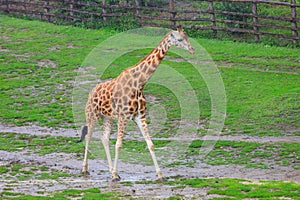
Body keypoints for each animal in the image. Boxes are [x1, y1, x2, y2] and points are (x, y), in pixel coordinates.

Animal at [80, 25, 195, 181]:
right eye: (179, 39)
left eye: (187, 36)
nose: (192, 50)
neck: (139, 84)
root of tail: (91, 92)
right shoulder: (123, 116)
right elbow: (119, 144)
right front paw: (115, 176)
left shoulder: (140, 116)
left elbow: (150, 144)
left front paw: (160, 175)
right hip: (92, 114)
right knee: (89, 136)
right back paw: (86, 169)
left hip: (107, 117)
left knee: (104, 138)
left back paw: (110, 169)